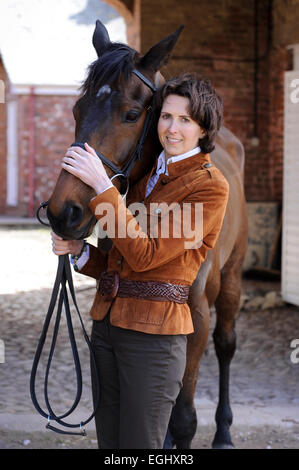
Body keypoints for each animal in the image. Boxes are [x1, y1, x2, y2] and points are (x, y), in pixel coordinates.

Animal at [47, 20, 248, 450]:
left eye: (132, 114)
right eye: (76, 110)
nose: (62, 213)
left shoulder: (195, 314)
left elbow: (185, 418)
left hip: (232, 279)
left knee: (226, 344)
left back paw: (224, 432)